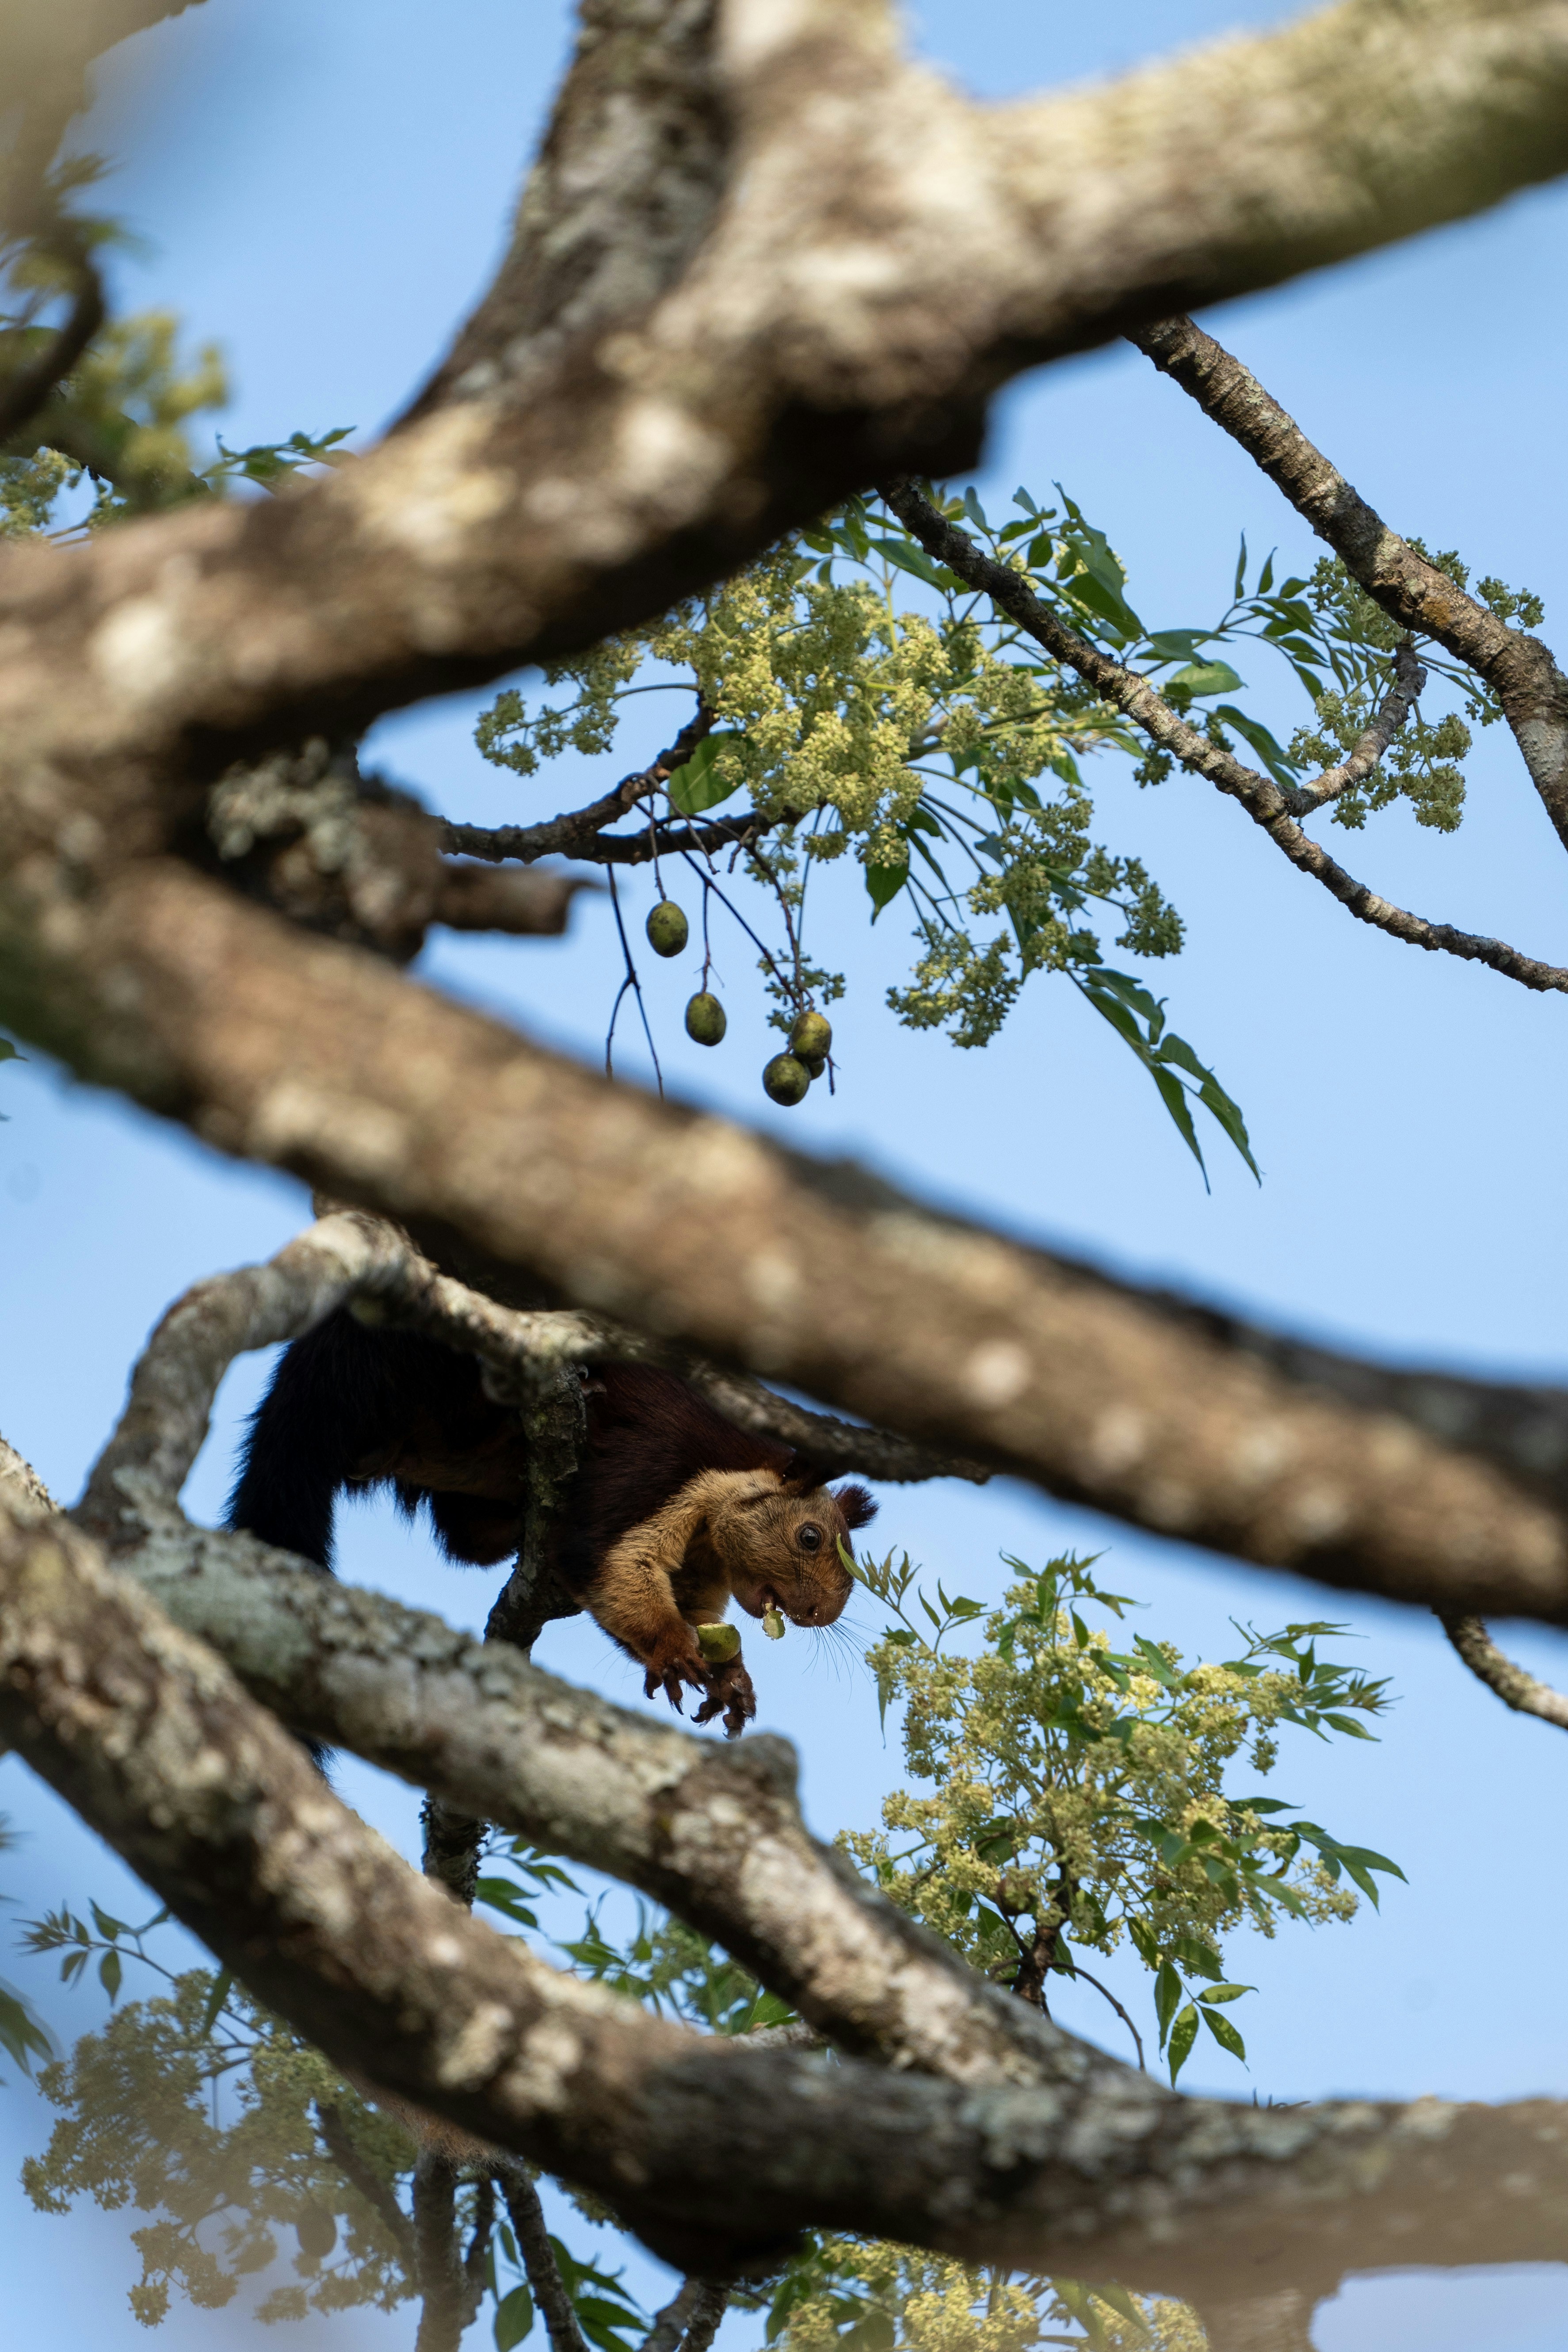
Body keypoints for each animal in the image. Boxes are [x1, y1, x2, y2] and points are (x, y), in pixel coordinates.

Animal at [225, 1310, 875, 1735]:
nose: (819, 1614)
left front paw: (730, 1679)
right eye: (809, 1536)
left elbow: (689, 1607)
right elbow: (600, 1557)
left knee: (462, 1538)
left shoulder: (701, 1563)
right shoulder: (655, 1462)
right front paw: (672, 1651)